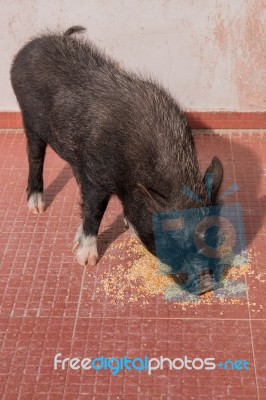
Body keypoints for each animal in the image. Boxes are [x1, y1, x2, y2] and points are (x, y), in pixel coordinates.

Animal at [9, 25, 222, 294]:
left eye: (213, 234)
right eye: (171, 241)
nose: (207, 285)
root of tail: (30, 47)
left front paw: (126, 226)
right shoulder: (99, 177)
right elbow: (94, 211)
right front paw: (86, 260)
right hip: (29, 119)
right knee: (35, 155)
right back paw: (37, 207)